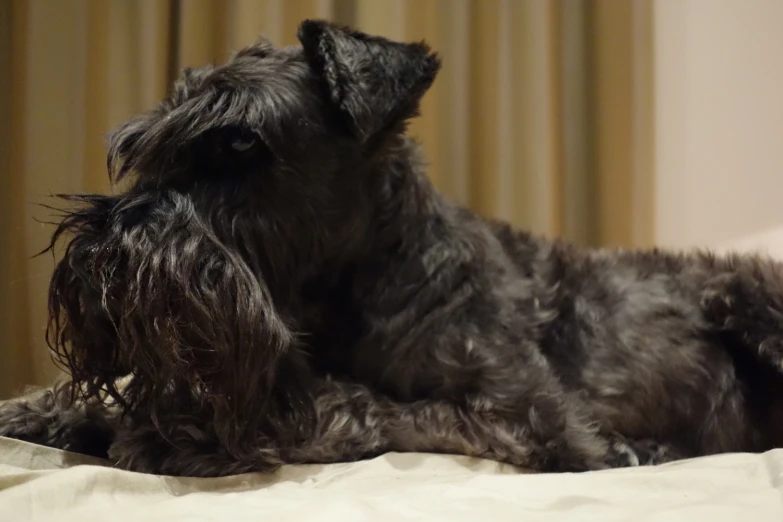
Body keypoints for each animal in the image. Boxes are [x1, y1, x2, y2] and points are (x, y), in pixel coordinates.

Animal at [1, 21, 783, 476]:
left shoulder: (528, 415)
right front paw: (51, 412)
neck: (352, 290)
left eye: (240, 142)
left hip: (742, 298)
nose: (100, 256)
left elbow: (365, 406)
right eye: (142, 147)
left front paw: (183, 435)